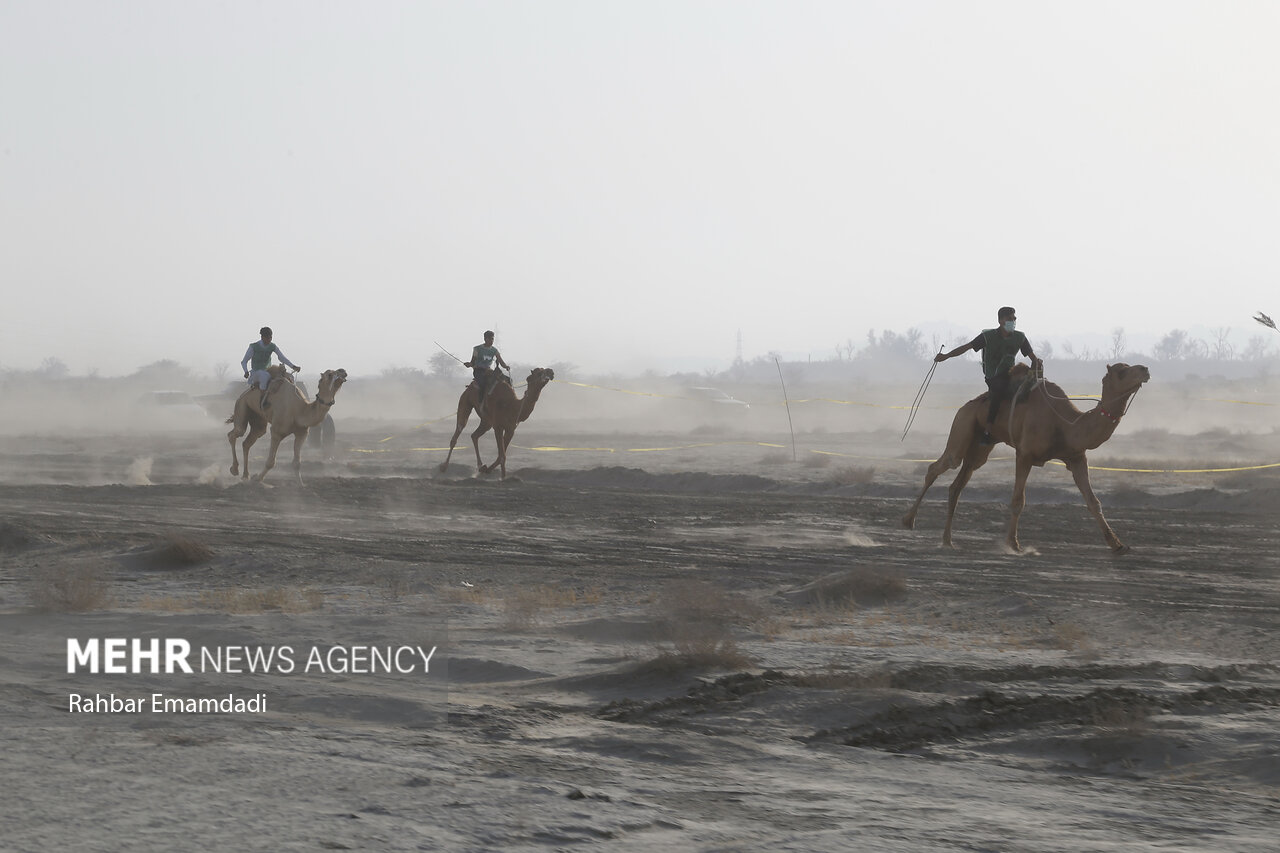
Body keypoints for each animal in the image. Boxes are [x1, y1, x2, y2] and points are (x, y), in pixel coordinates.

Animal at [901, 361, 1152, 550]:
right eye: (1121, 371)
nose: (1145, 369)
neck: (1067, 424)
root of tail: (967, 405)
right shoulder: (1025, 454)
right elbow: (1018, 500)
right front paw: (1013, 544)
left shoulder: (1076, 458)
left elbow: (1093, 501)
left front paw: (1117, 544)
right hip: (962, 426)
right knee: (940, 466)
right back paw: (908, 520)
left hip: (981, 446)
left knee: (958, 483)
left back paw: (947, 540)